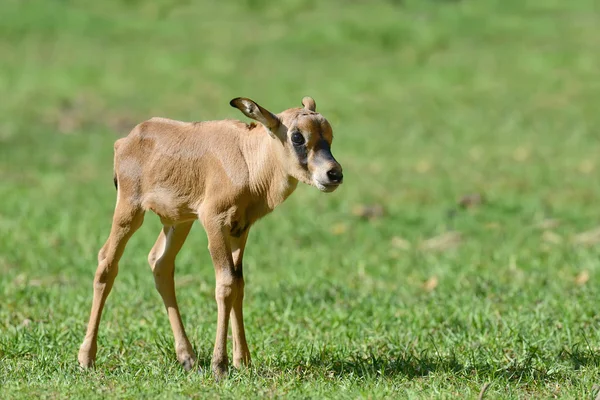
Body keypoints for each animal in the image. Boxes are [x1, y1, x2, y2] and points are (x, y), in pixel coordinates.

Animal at [77, 95, 344, 376]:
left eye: (328, 133)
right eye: (297, 136)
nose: (334, 174)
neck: (247, 156)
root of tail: (126, 140)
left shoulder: (240, 230)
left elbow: (239, 284)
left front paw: (243, 360)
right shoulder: (214, 223)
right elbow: (225, 284)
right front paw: (220, 365)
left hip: (179, 223)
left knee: (160, 263)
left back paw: (187, 357)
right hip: (129, 212)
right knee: (107, 263)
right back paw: (86, 358)